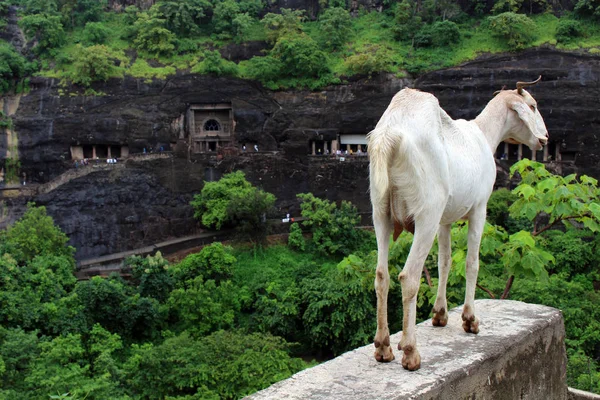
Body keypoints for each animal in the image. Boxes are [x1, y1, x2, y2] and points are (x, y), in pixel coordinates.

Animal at [366, 76, 548, 370]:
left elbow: (445, 261)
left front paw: (440, 314)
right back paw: (410, 351)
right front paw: (470, 319)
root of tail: (390, 135)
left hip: (381, 212)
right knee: (409, 276)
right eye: (532, 106)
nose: (544, 138)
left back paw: (383, 347)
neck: (483, 134)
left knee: (382, 275)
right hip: (426, 213)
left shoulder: (445, 220)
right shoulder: (479, 208)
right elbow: (472, 263)